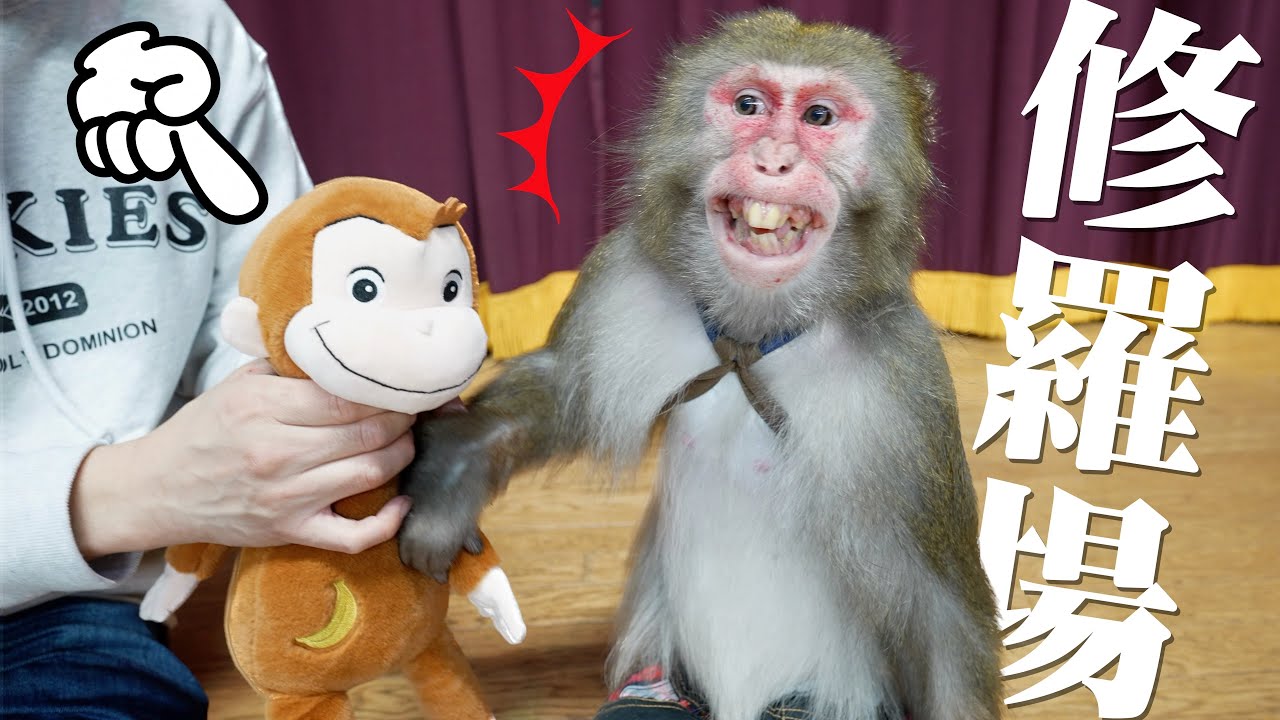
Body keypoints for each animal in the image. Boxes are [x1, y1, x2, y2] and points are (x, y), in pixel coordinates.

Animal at [398, 11, 1002, 720]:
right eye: (749, 106)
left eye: (819, 116)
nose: (773, 158)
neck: (752, 338)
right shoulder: (625, 277)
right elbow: (567, 390)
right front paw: (455, 470)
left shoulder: (906, 390)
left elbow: (944, 621)